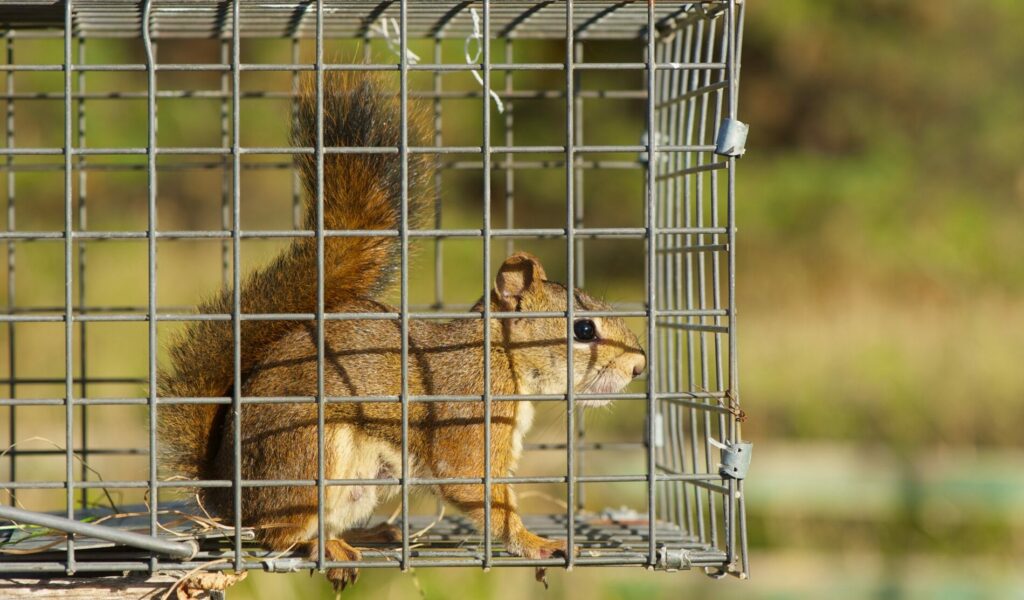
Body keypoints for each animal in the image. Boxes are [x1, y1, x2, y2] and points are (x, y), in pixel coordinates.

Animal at [157, 71, 647, 591]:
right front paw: (535, 543)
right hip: (308, 455)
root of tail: (226, 495)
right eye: (584, 328)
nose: (640, 366)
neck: (499, 360)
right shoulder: (465, 421)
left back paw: (370, 536)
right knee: (278, 534)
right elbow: (480, 492)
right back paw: (326, 546)